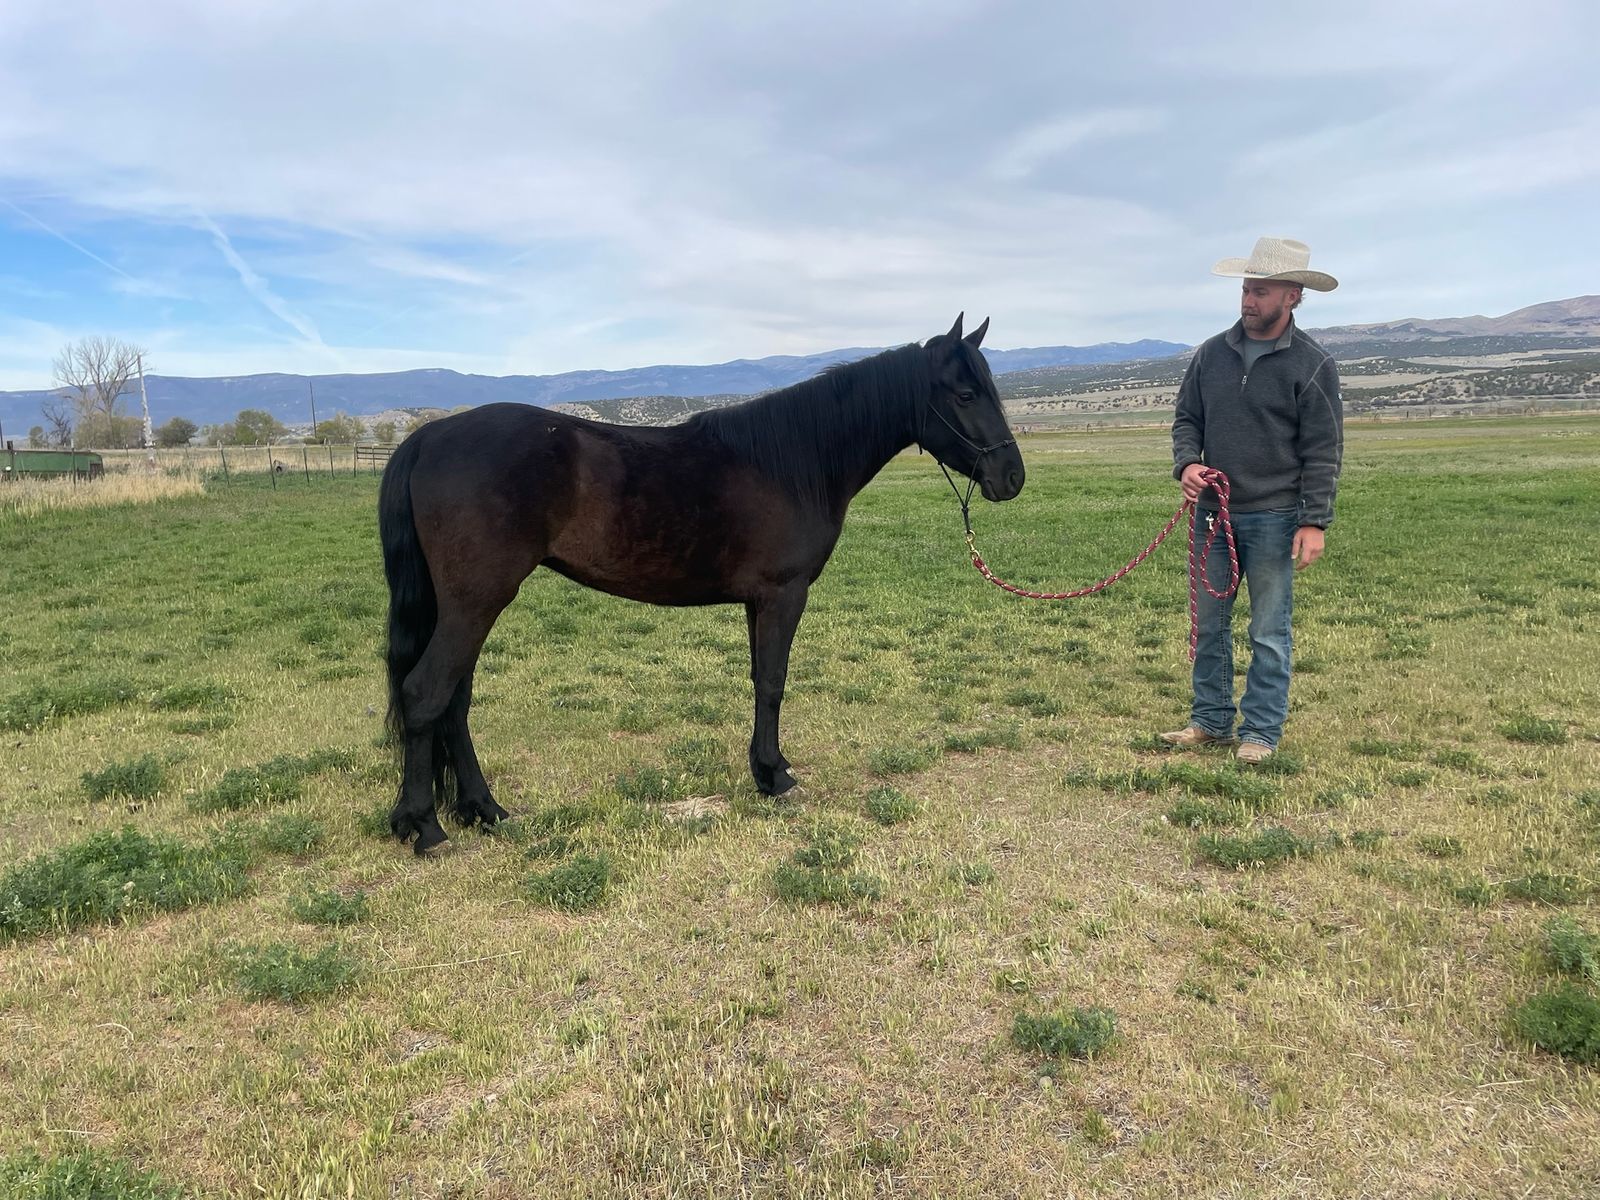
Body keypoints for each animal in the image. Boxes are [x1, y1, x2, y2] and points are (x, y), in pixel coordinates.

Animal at [379, 313, 1025, 853]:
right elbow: (774, 683)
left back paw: (483, 809)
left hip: (465, 607)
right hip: (476, 602)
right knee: (427, 693)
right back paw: (426, 826)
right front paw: (777, 777)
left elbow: (760, 679)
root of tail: (428, 437)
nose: (1011, 477)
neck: (793, 462)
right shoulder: (783, 594)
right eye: (966, 394)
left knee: (455, 702)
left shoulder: (757, 601)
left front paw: (763, 770)